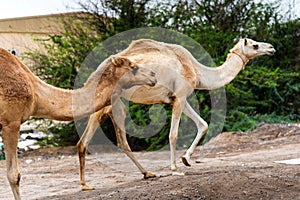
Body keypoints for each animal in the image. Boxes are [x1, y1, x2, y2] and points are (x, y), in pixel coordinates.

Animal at [78, 38, 276, 191]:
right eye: (255, 45)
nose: (271, 48)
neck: (196, 70)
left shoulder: (178, 97)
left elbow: (203, 124)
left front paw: (186, 159)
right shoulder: (180, 95)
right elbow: (173, 134)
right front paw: (174, 168)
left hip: (107, 102)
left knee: (96, 141)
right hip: (110, 101)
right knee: (110, 139)